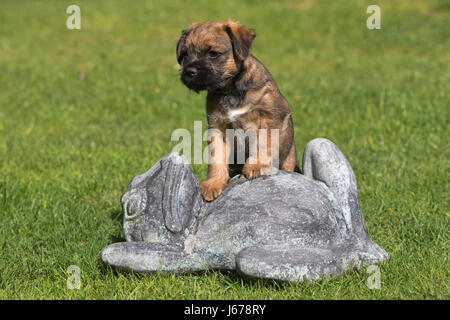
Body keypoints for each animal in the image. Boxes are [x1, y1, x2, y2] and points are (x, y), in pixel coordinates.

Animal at [176, 20, 298, 201]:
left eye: (213, 53)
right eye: (185, 55)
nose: (189, 72)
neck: (230, 89)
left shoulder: (269, 117)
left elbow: (263, 143)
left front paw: (257, 165)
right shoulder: (217, 127)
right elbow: (217, 157)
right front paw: (214, 183)